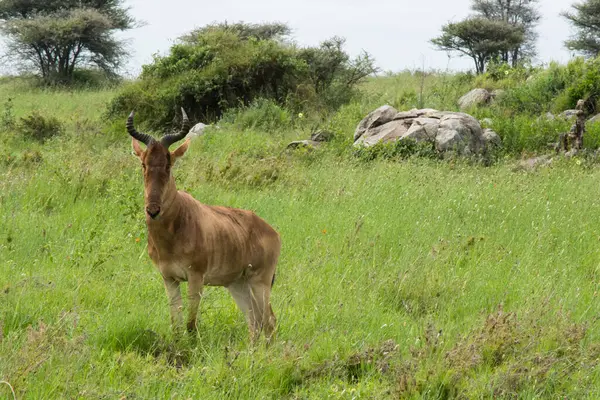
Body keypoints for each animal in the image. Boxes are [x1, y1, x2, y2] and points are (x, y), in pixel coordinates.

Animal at [127, 109, 282, 344]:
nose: (153, 210)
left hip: (260, 281)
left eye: (168, 164)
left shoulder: (196, 277)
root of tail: (271, 231)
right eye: (144, 164)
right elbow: (176, 324)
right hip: (238, 284)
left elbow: (191, 324)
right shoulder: (169, 279)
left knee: (269, 321)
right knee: (254, 321)